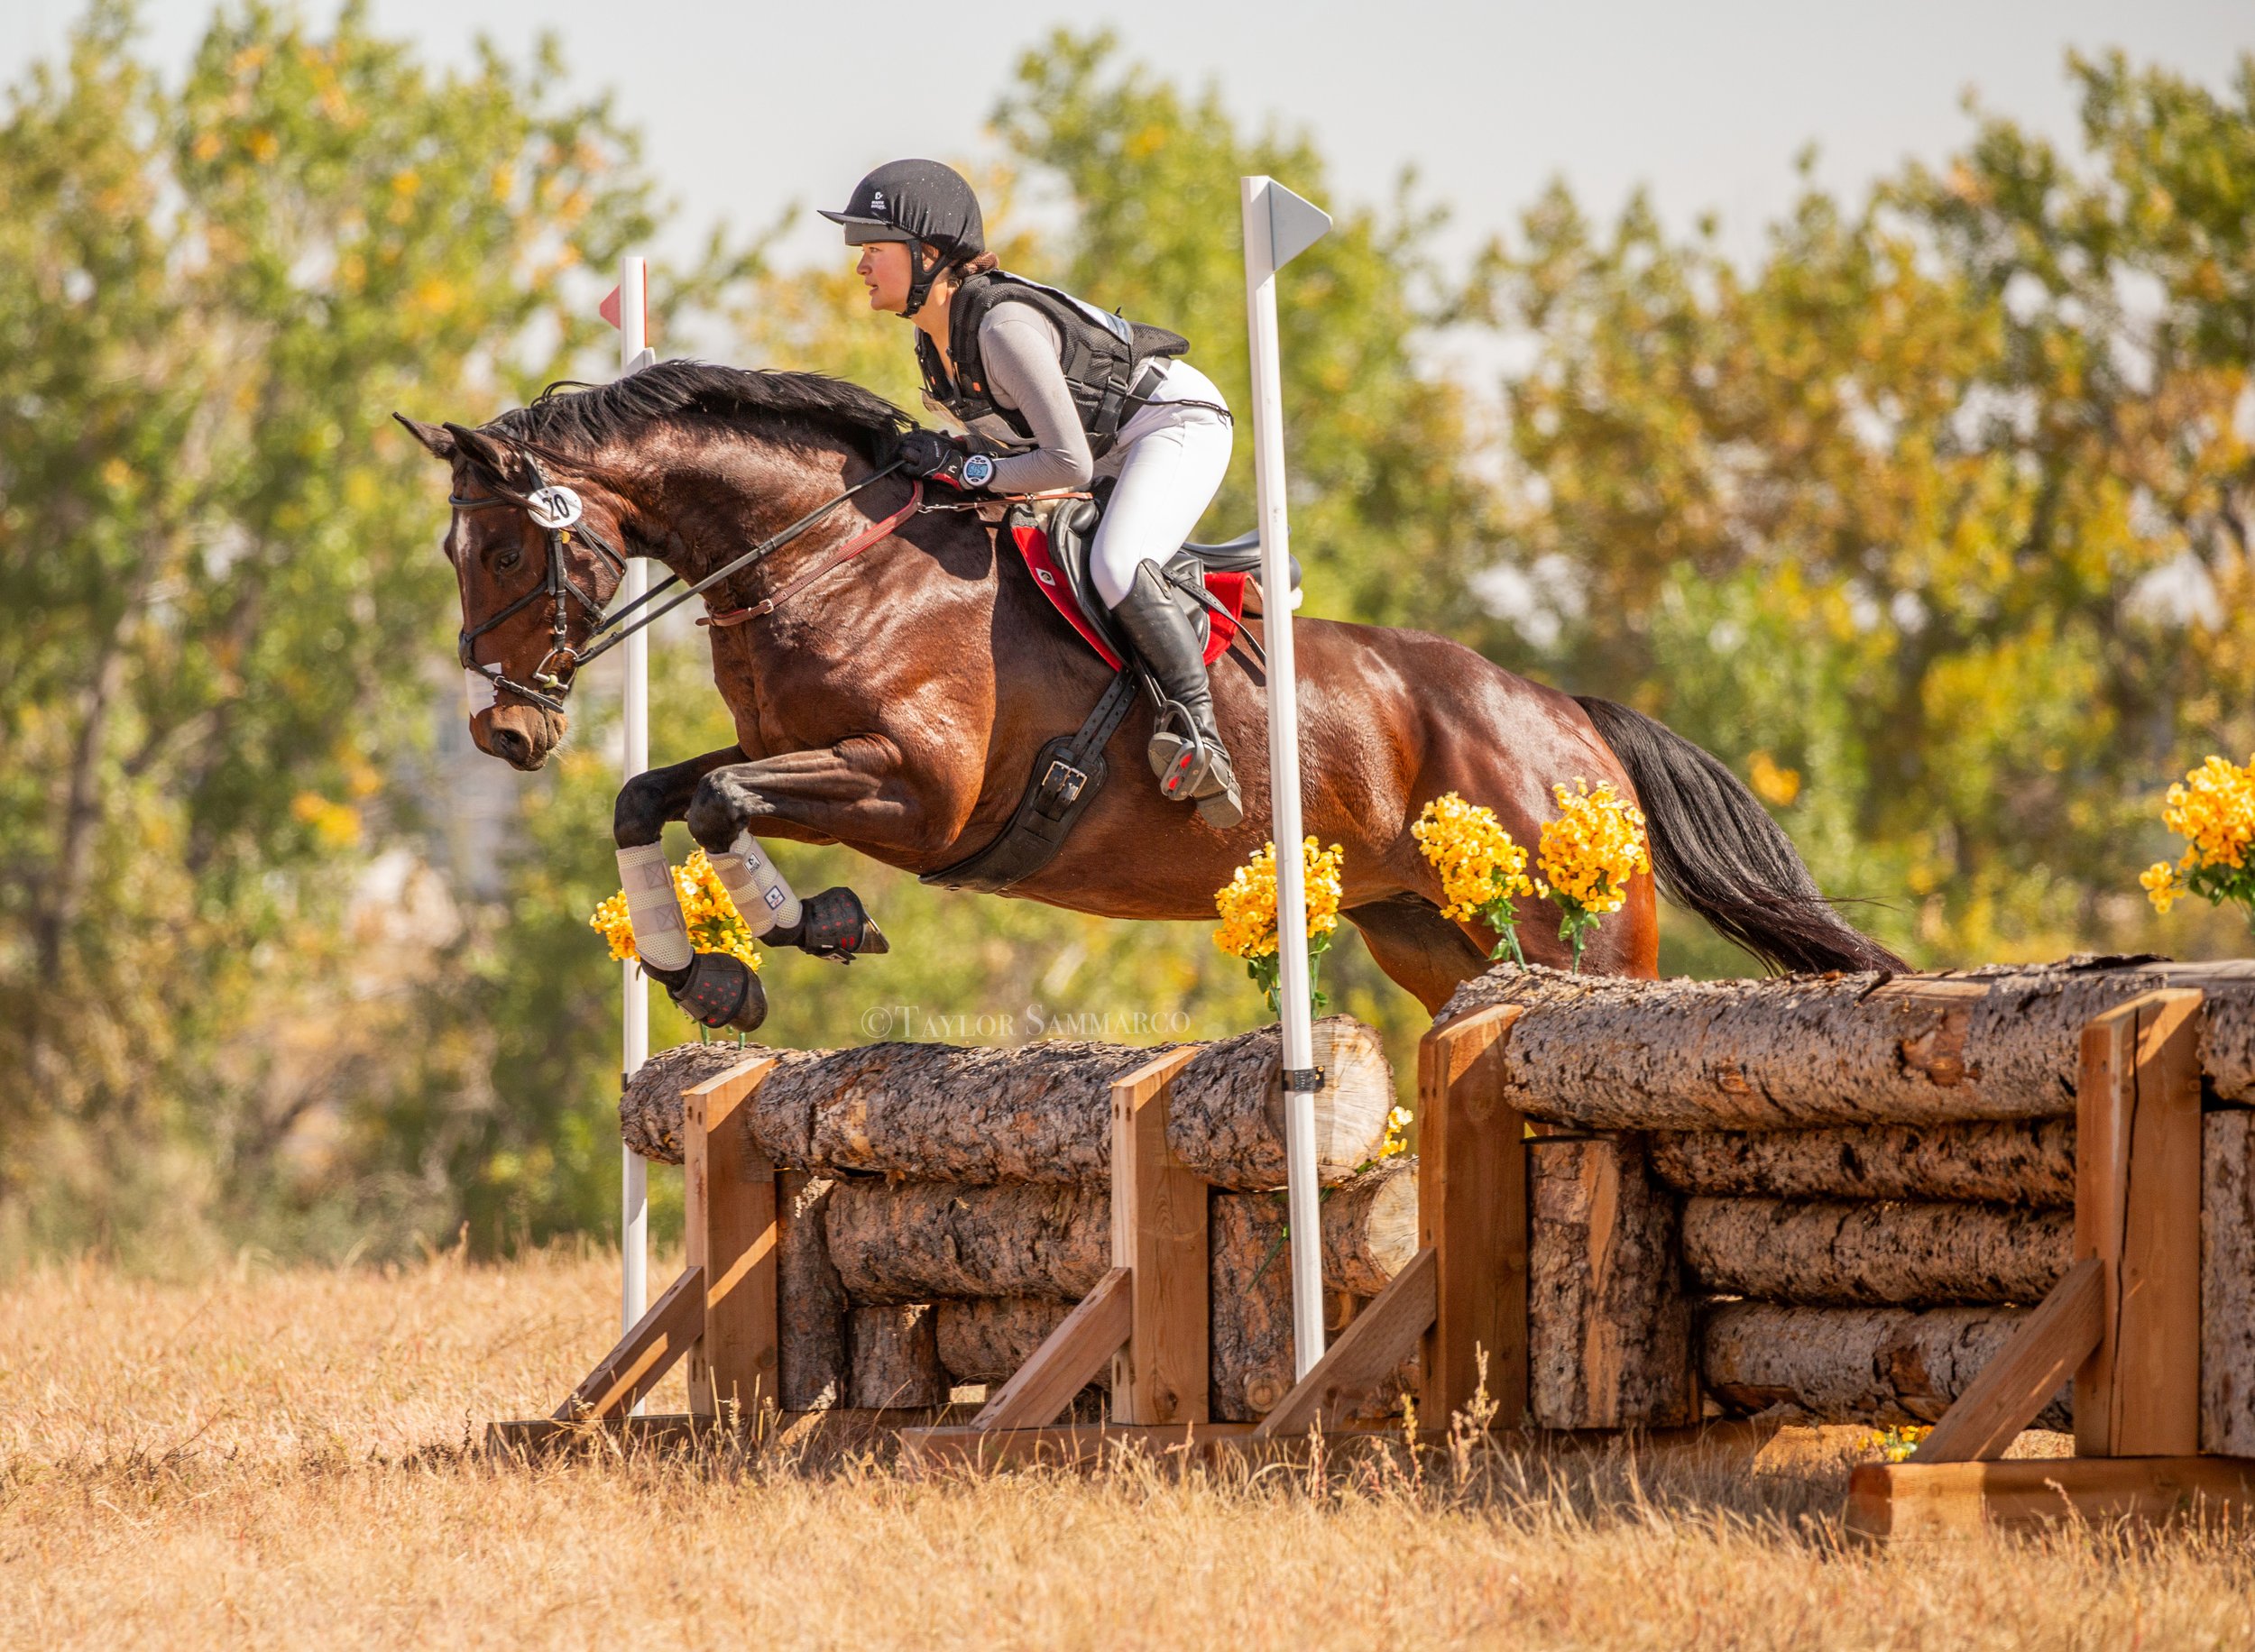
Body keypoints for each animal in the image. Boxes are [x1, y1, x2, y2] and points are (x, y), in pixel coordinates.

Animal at [398, 361, 1902, 1020]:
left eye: (507, 550)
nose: (504, 727)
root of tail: (1573, 721)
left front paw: (807, 926)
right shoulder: (797, 756)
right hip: (1430, 936)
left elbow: (716, 809)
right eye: (455, 555)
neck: (827, 560)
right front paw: (698, 972)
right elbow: (655, 795)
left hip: (1567, 923)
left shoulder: (913, 793)